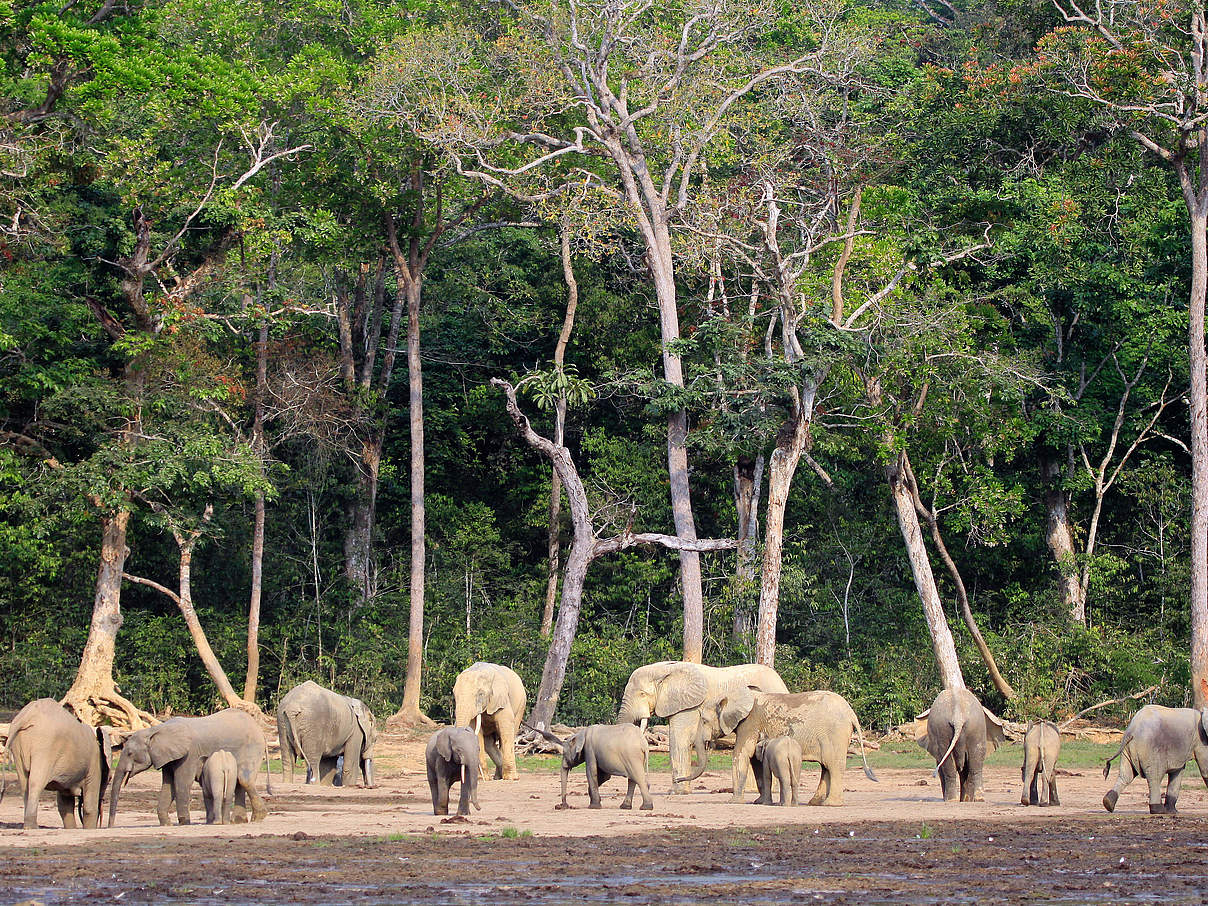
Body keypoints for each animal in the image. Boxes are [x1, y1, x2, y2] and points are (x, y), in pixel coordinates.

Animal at [5, 700, 110, 831]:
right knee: (35, 783)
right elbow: (89, 806)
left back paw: (28, 826)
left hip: (18, 745)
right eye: (109, 779)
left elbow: (65, 803)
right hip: (45, 746)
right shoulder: (94, 763)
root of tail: (27, 716)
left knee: (24, 784)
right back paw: (33, 827)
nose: (100, 826)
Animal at [109, 710, 270, 831]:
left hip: (252, 747)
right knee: (239, 781)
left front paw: (183, 822)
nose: (110, 826)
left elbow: (182, 783)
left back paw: (258, 817)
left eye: (130, 753)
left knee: (244, 779)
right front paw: (166, 824)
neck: (155, 731)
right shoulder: (167, 757)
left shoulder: (189, 753)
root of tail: (260, 730)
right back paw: (239, 821)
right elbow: (168, 786)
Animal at [529, 724, 657, 816]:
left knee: (638, 779)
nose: (563, 805)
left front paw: (593, 806)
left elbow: (591, 772)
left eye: (564, 753)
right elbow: (605, 776)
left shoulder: (589, 749)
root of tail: (644, 743)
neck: (581, 732)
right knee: (633, 779)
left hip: (632, 756)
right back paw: (625, 807)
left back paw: (645, 807)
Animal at [686, 686, 874, 806]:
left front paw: (733, 802)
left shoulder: (750, 723)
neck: (734, 694)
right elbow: (755, 761)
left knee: (833, 766)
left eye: (704, 721)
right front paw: (759, 802)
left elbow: (741, 754)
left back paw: (831, 804)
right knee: (826, 767)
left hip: (835, 734)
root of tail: (851, 713)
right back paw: (815, 803)